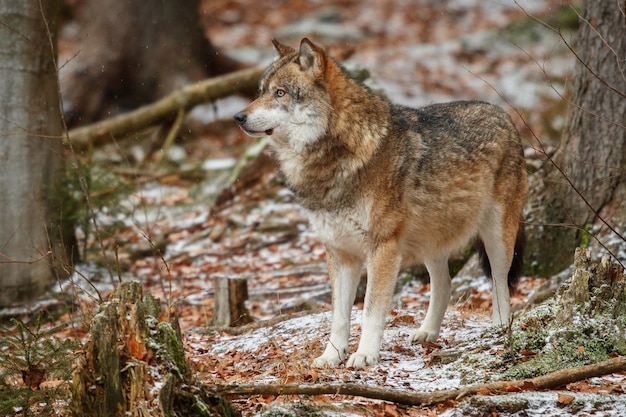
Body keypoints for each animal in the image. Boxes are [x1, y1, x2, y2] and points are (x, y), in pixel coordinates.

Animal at [234, 37, 528, 366]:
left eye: (280, 93)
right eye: (260, 91)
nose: (238, 117)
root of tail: (504, 114)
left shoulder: (383, 247)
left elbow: (370, 310)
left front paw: (364, 355)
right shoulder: (339, 253)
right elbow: (338, 316)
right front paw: (331, 356)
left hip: (496, 238)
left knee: (501, 282)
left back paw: (500, 328)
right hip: (430, 243)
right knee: (445, 284)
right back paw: (428, 332)